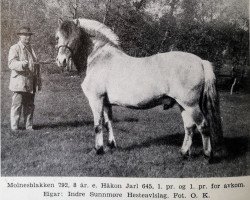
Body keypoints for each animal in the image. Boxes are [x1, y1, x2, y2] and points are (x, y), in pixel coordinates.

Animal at [55, 18, 225, 160]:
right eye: (58, 37)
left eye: (76, 37)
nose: (61, 61)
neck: (100, 58)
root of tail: (200, 61)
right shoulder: (106, 102)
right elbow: (108, 122)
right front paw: (111, 145)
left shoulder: (96, 99)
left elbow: (98, 125)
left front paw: (98, 149)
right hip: (183, 105)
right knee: (189, 127)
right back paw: (183, 153)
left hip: (191, 105)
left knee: (203, 125)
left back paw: (207, 156)